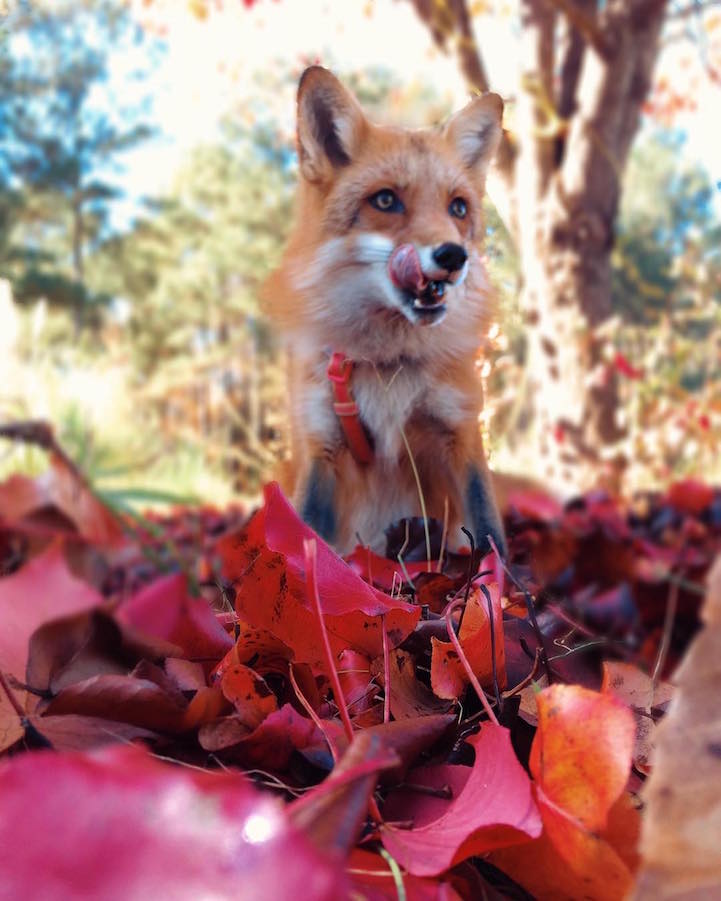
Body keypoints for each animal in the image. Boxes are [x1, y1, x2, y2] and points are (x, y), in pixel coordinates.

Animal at [264, 66, 507, 559]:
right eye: (385, 200)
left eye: (458, 207)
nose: (453, 256)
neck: (387, 362)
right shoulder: (321, 444)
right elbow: (304, 540)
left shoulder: (462, 433)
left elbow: (491, 535)